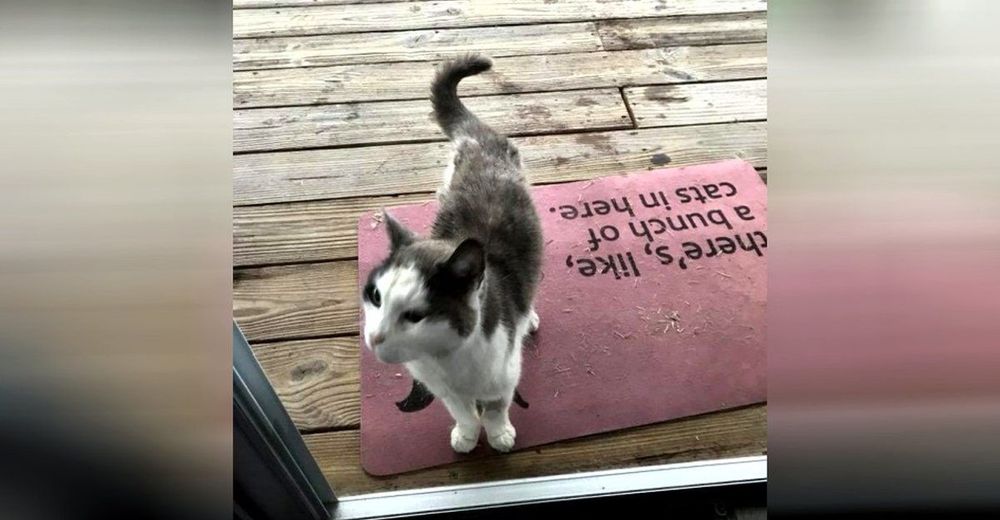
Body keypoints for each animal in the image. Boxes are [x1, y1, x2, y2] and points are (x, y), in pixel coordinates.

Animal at [362, 51, 544, 450]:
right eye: (376, 298)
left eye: (415, 316)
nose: (375, 338)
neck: (443, 360)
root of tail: (479, 137)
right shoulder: (442, 390)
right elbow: (462, 411)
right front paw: (466, 435)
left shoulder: (503, 376)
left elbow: (495, 409)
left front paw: (499, 435)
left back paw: (530, 317)